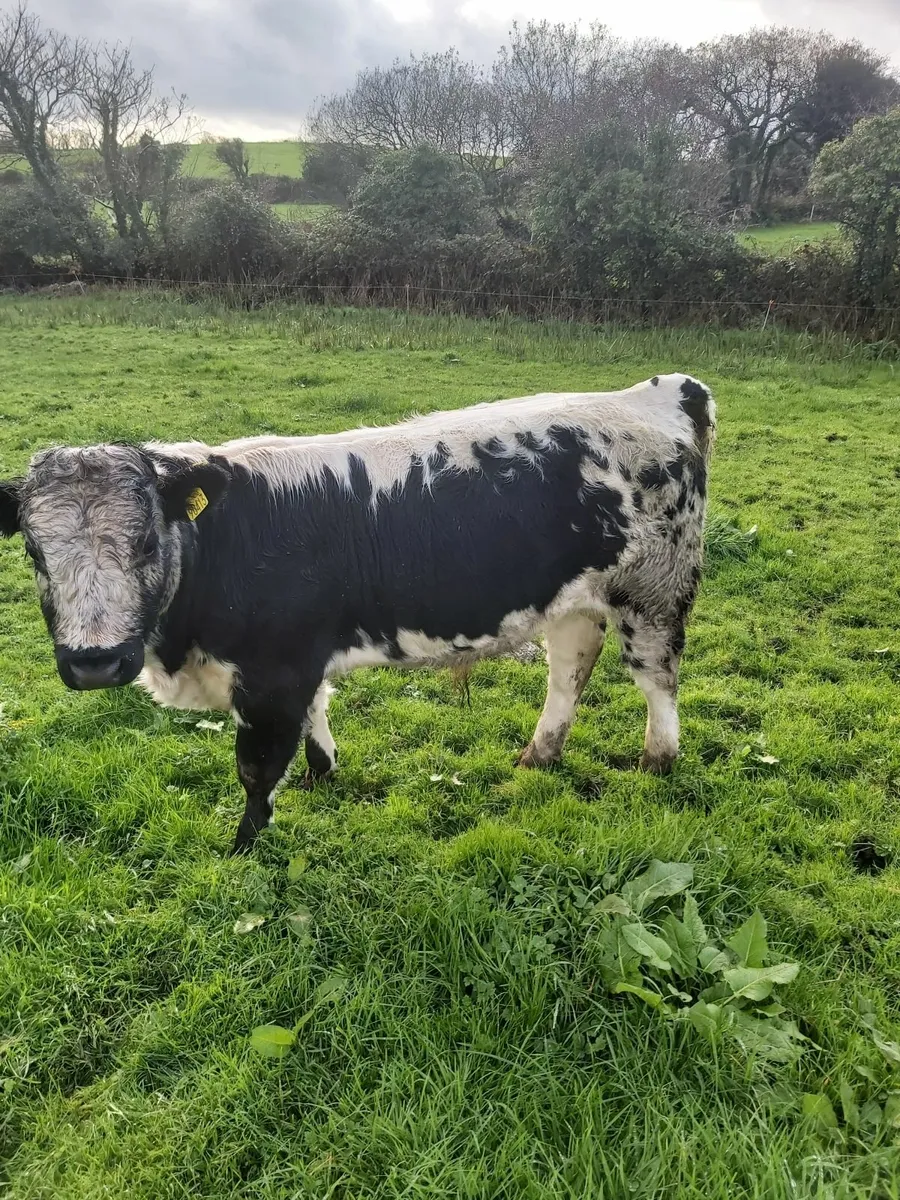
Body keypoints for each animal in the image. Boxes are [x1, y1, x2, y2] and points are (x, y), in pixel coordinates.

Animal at [0, 373, 715, 853]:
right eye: (33, 550)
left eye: (147, 542)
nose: (94, 663)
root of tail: (659, 391)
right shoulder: (297, 659)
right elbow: (317, 714)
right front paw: (322, 774)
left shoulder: (273, 672)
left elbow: (257, 766)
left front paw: (243, 846)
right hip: (574, 597)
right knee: (570, 668)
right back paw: (539, 755)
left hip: (654, 590)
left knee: (656, 677)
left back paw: (657, 760)